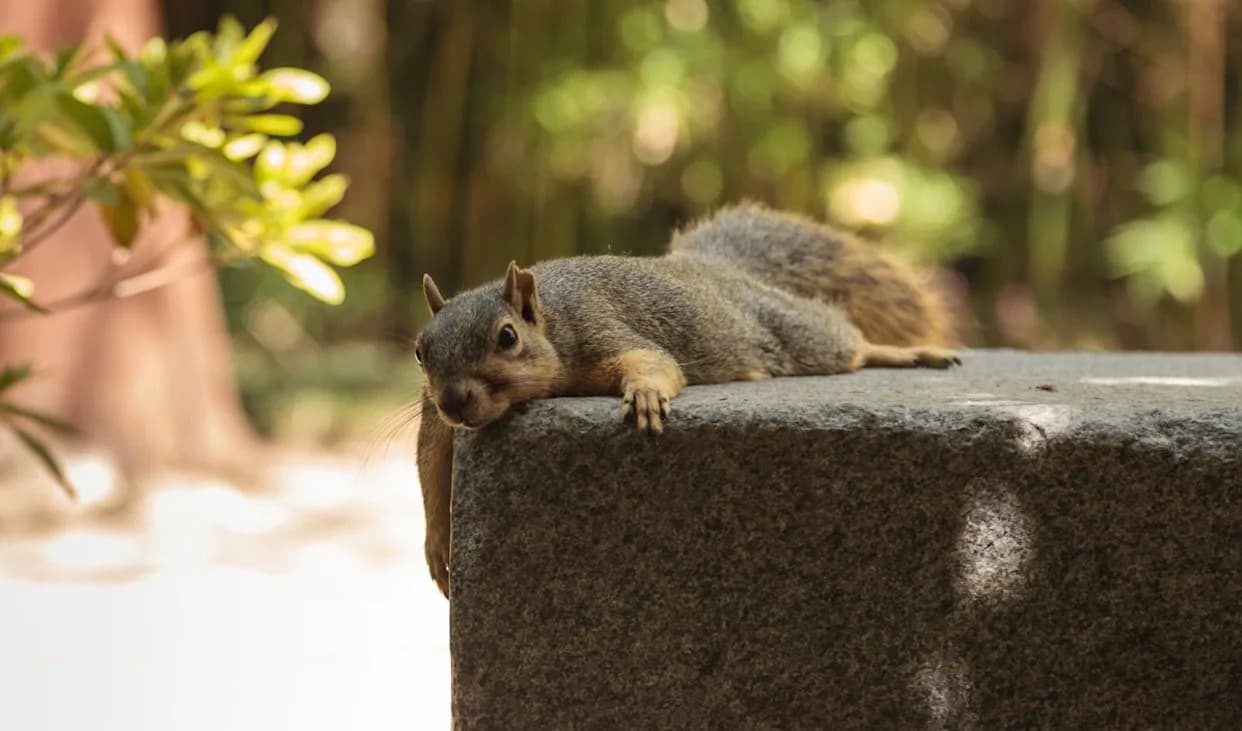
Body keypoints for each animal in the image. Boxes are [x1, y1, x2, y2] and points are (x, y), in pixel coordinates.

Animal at [414, 202, 960, 597]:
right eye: (421, 351)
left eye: (507, 337)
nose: (455, 400)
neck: (552, 318)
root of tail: (713, 270)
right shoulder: (433, 417)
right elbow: (429, 465)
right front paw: (438, 546)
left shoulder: (601, 328)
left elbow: (653, 361)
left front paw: (646, 394)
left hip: (799, 334)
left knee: (847, 342)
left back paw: (906, 353)